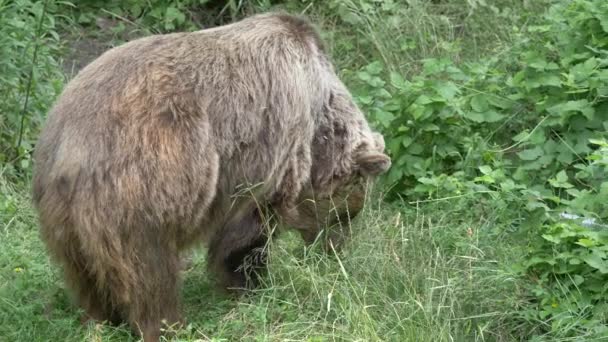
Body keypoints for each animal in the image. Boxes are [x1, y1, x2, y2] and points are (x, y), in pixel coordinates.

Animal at [32, 12, 390, 340]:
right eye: (348, 214)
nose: (335, 252)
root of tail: (71, 147)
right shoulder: (268, 151)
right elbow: (245, 237)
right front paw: (251, 285)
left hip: (62, 215)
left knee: (84, 275)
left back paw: (102, 321)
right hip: (140, 187)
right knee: (149, 272)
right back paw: (169, 324)